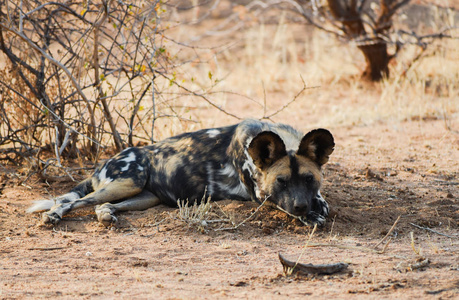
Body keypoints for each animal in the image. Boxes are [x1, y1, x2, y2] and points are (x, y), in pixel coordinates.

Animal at [28, 118, 336, 226]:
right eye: (281, 181)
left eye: (309, 179)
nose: (300, 206)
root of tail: (101, 164)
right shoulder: (262, 197)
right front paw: (310, 217)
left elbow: (323, 202)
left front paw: (316, 208)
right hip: (128, 181)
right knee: (71, 202)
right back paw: (53, 216)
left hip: (142, 196)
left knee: (100, 205)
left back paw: (106, 215)